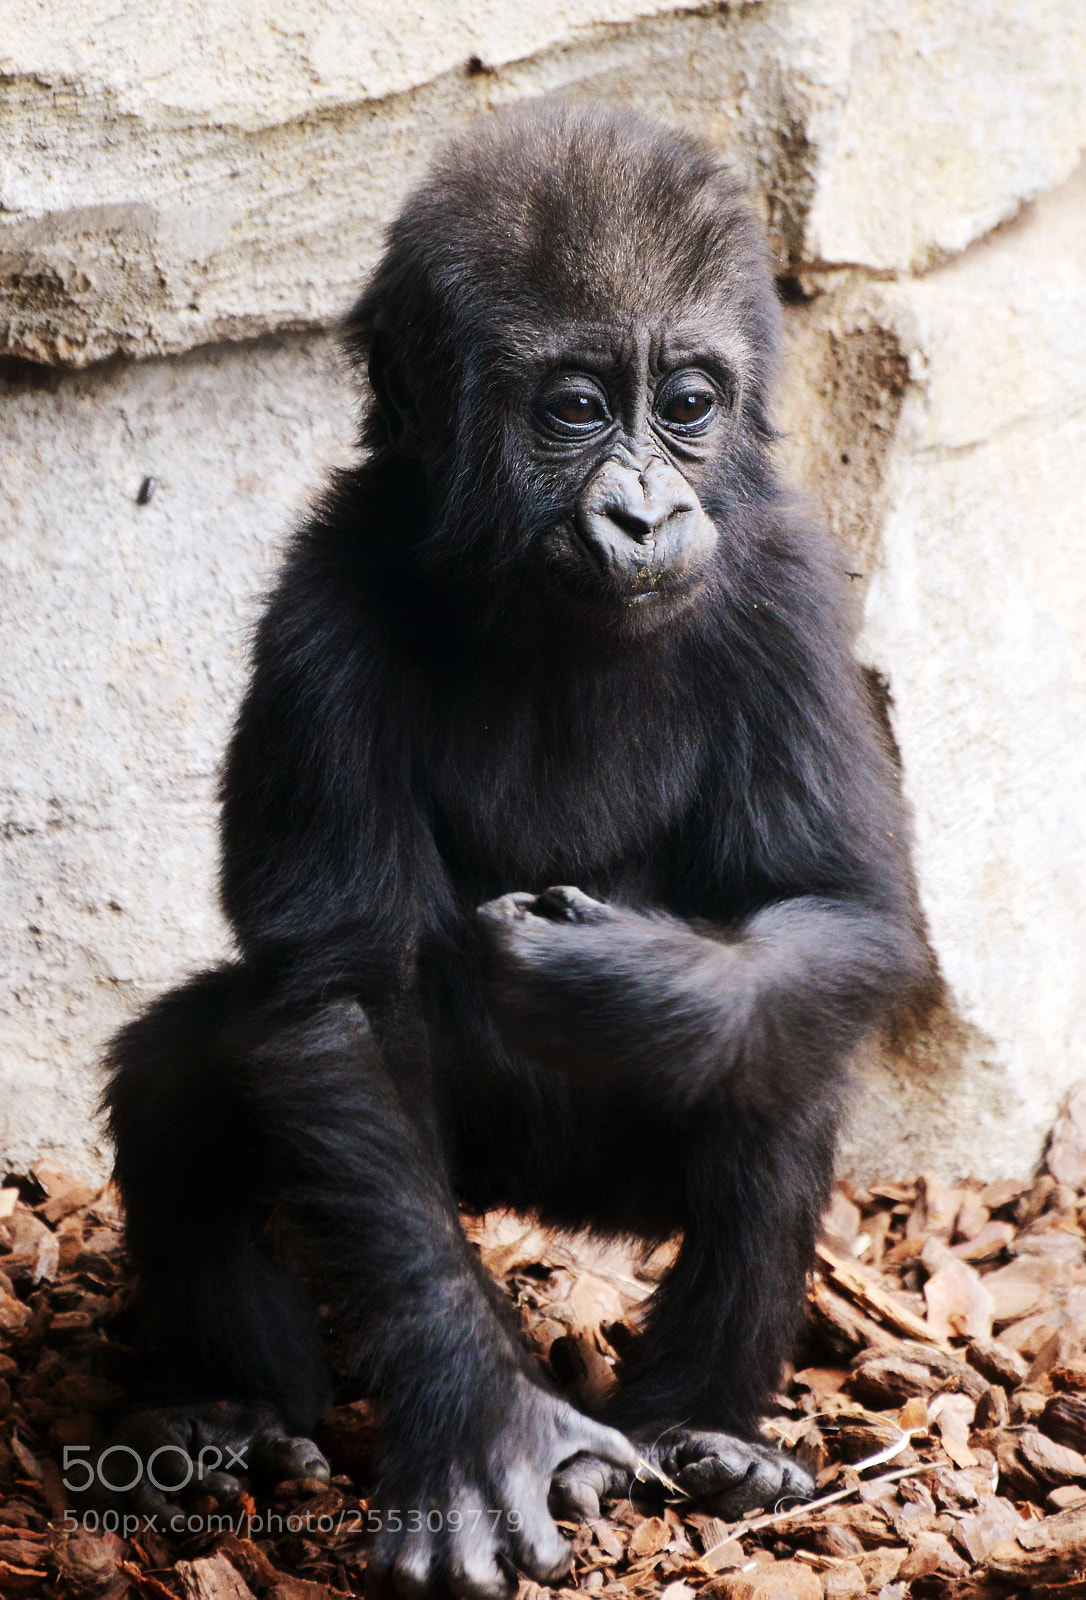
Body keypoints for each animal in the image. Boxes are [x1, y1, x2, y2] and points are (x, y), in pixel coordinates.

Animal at [103, 100, 924, 1599]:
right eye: (575, 409)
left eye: (688, 403)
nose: (644, 514)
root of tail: (532, 1207)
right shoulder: (318, 619)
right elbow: (338, 1003)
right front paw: (479, 1415)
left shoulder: (784, 590)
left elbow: (837, 911)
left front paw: (617, 982)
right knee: (186, 1082)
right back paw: (237, 1415)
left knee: (782, 1073)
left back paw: (709, 1435)